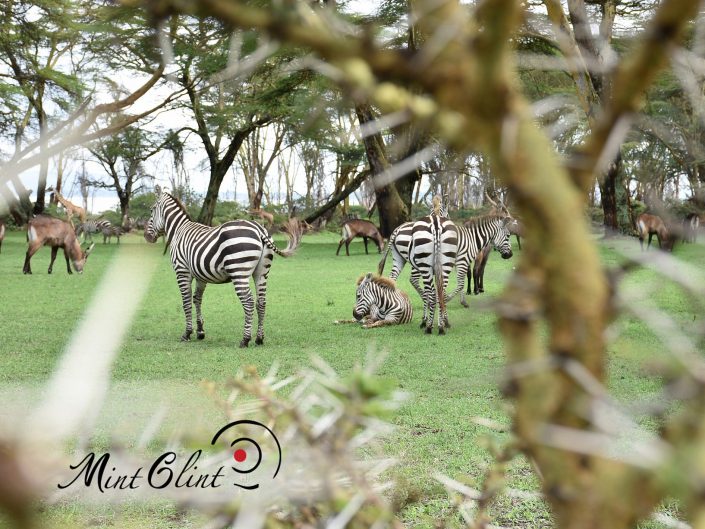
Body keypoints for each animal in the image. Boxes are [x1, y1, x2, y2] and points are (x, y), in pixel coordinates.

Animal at [144, 192, 302, 348]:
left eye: (151, 210)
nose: (146, 236)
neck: (178, 230)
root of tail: (259, 229)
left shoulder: (182, 271)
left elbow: (186, 302)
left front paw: (187, 333)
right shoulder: (200, 276)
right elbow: (197, 299)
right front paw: (200, 332)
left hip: (239, 272)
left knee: (248, 302)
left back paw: (245, 340)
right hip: (262, 272)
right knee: (261, 302)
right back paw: (259, 339)